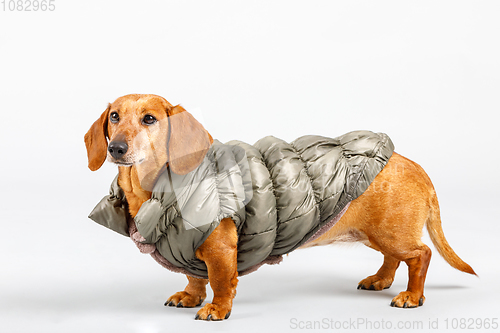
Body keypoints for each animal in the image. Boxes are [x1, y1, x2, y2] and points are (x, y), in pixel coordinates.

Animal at [85, 92, 476, 320]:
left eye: (149, 118)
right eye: (114, 116)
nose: (117, 149)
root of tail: (415, 166)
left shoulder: (219, 248)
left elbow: (221, 280)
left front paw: (217, 309)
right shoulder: (186, 247)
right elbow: (194, 277)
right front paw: (190, 297)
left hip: (391, 232)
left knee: (420, 255)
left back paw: (412, 296)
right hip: (376, 234)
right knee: (395, 258)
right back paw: (380, 280)